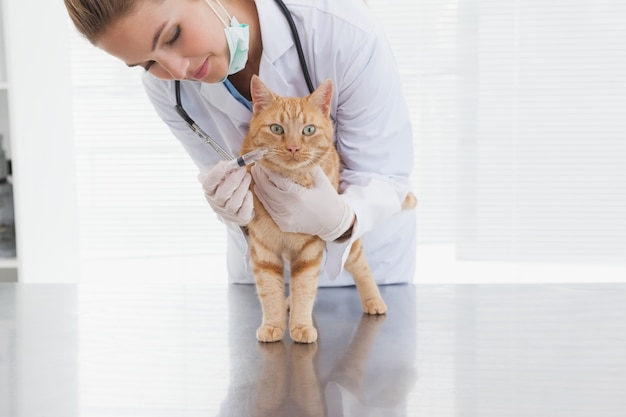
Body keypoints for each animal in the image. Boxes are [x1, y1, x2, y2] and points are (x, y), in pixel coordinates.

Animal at [239, 74, 414, 342]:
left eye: (308, 130)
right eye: (277, 129)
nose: (293, 148)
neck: (291, 181)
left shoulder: (310, 250)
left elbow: (305, 286)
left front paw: (301, 326)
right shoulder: (263, 249)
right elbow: (270, 290)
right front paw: (273, 324)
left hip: (346, 243)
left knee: (361, 267)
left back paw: (374, 300)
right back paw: (288, 302)